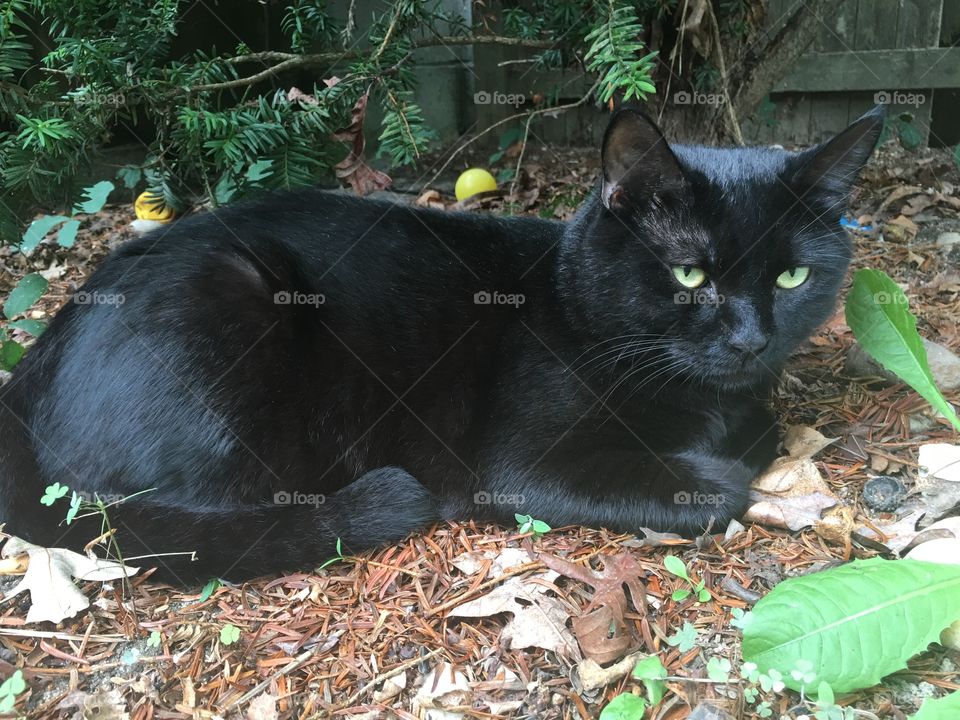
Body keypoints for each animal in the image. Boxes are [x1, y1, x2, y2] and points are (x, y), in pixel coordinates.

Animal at [0, 108, 884, 584]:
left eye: (794, 277)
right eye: (690, 273)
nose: (750, 339)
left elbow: (755, 423)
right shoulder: (523, 463)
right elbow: (716, 479)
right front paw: (716, 465)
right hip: (228, 310)